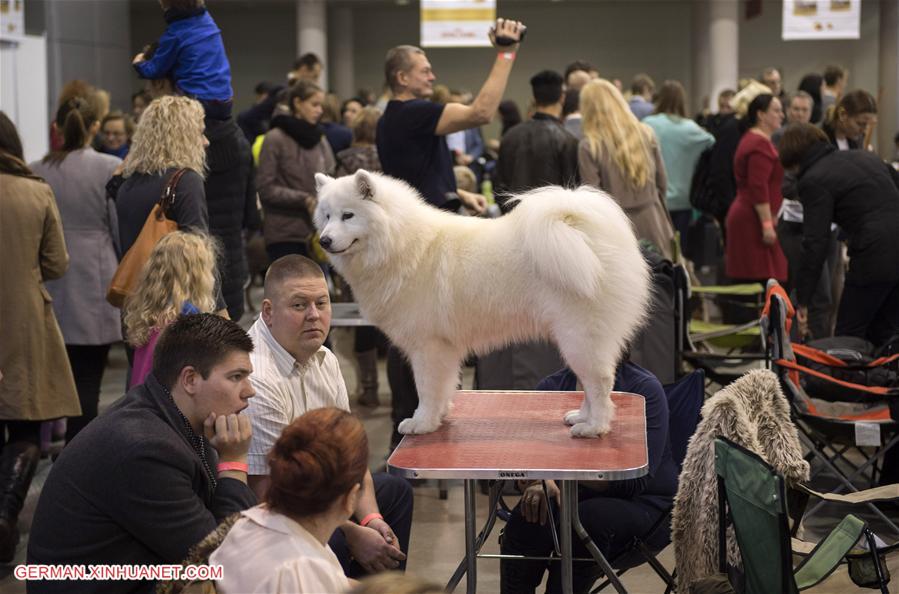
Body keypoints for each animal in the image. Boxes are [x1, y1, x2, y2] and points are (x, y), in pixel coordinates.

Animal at [312, 168, 652, 434]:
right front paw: (439, 417)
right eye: (326, 216)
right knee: (592, 385)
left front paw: (422, 423)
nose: (324, 240)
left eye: (348, 215)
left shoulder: (427, 347)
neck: (402, 245)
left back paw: (594, 427)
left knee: (600, 383)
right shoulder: (444, 349)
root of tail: (587, 229)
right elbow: (444, 388)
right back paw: (580, 417)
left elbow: (426, 389)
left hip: (579, 337)